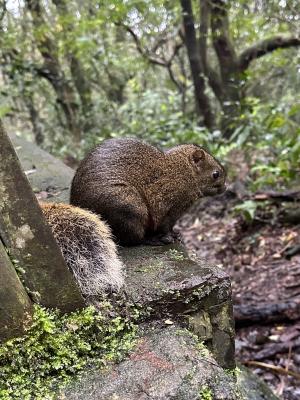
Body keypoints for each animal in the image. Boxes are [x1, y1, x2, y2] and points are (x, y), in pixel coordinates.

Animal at [69, 138, 225, 247]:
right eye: (216, 174)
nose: (225, 187)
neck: (183, 171)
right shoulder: (170, 206)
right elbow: (165, 226)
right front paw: (172, 236)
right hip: (130, 209)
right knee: (132, 240)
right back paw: (152, 239)